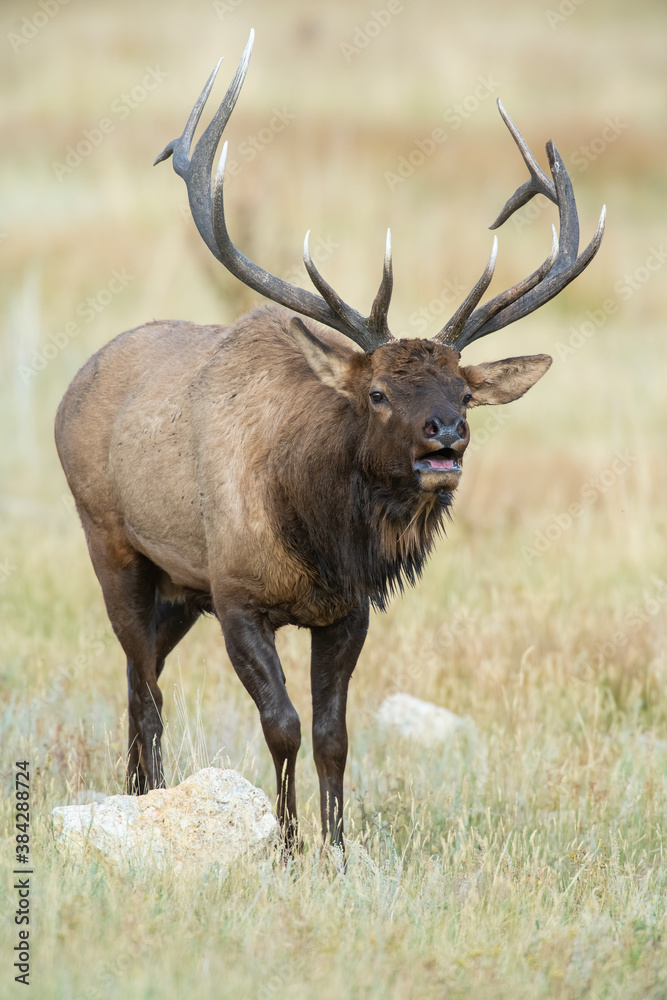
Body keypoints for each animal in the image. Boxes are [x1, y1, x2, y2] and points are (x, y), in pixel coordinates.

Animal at [55, 31, 605, 852]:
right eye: (376, 394)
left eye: (464, 392)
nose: (446, 435)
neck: (316, 531)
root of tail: (72, 387)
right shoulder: (237, 593)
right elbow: (281, 726)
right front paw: (285, 850)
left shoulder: (346, 610)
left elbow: (332, 736)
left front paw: (337, 851)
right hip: (113, 544)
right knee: (145, 687)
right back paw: (142, 800)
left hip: (178, 588)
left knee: (136, 679)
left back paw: (139, 793)